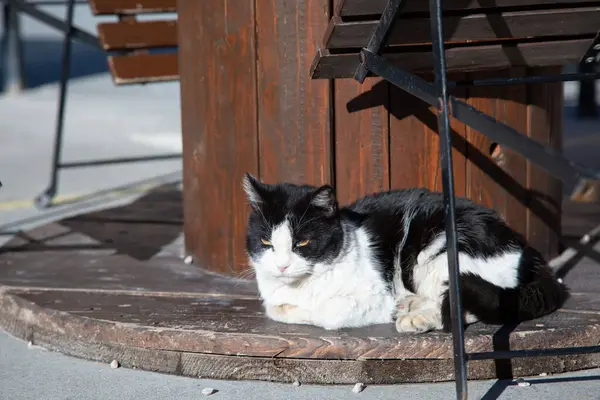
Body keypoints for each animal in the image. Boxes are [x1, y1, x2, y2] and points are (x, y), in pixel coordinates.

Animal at [241, 173, 568, 332]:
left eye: (302, 243)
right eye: (267, 242)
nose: (282, 266)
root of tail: (523, 245)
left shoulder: (372, 293)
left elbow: (331, 313)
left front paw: (389, 311)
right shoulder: (273, 297)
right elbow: (276, 309)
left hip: (439, 254)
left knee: (464, 304)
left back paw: (415, 318)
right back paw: (411, 305)